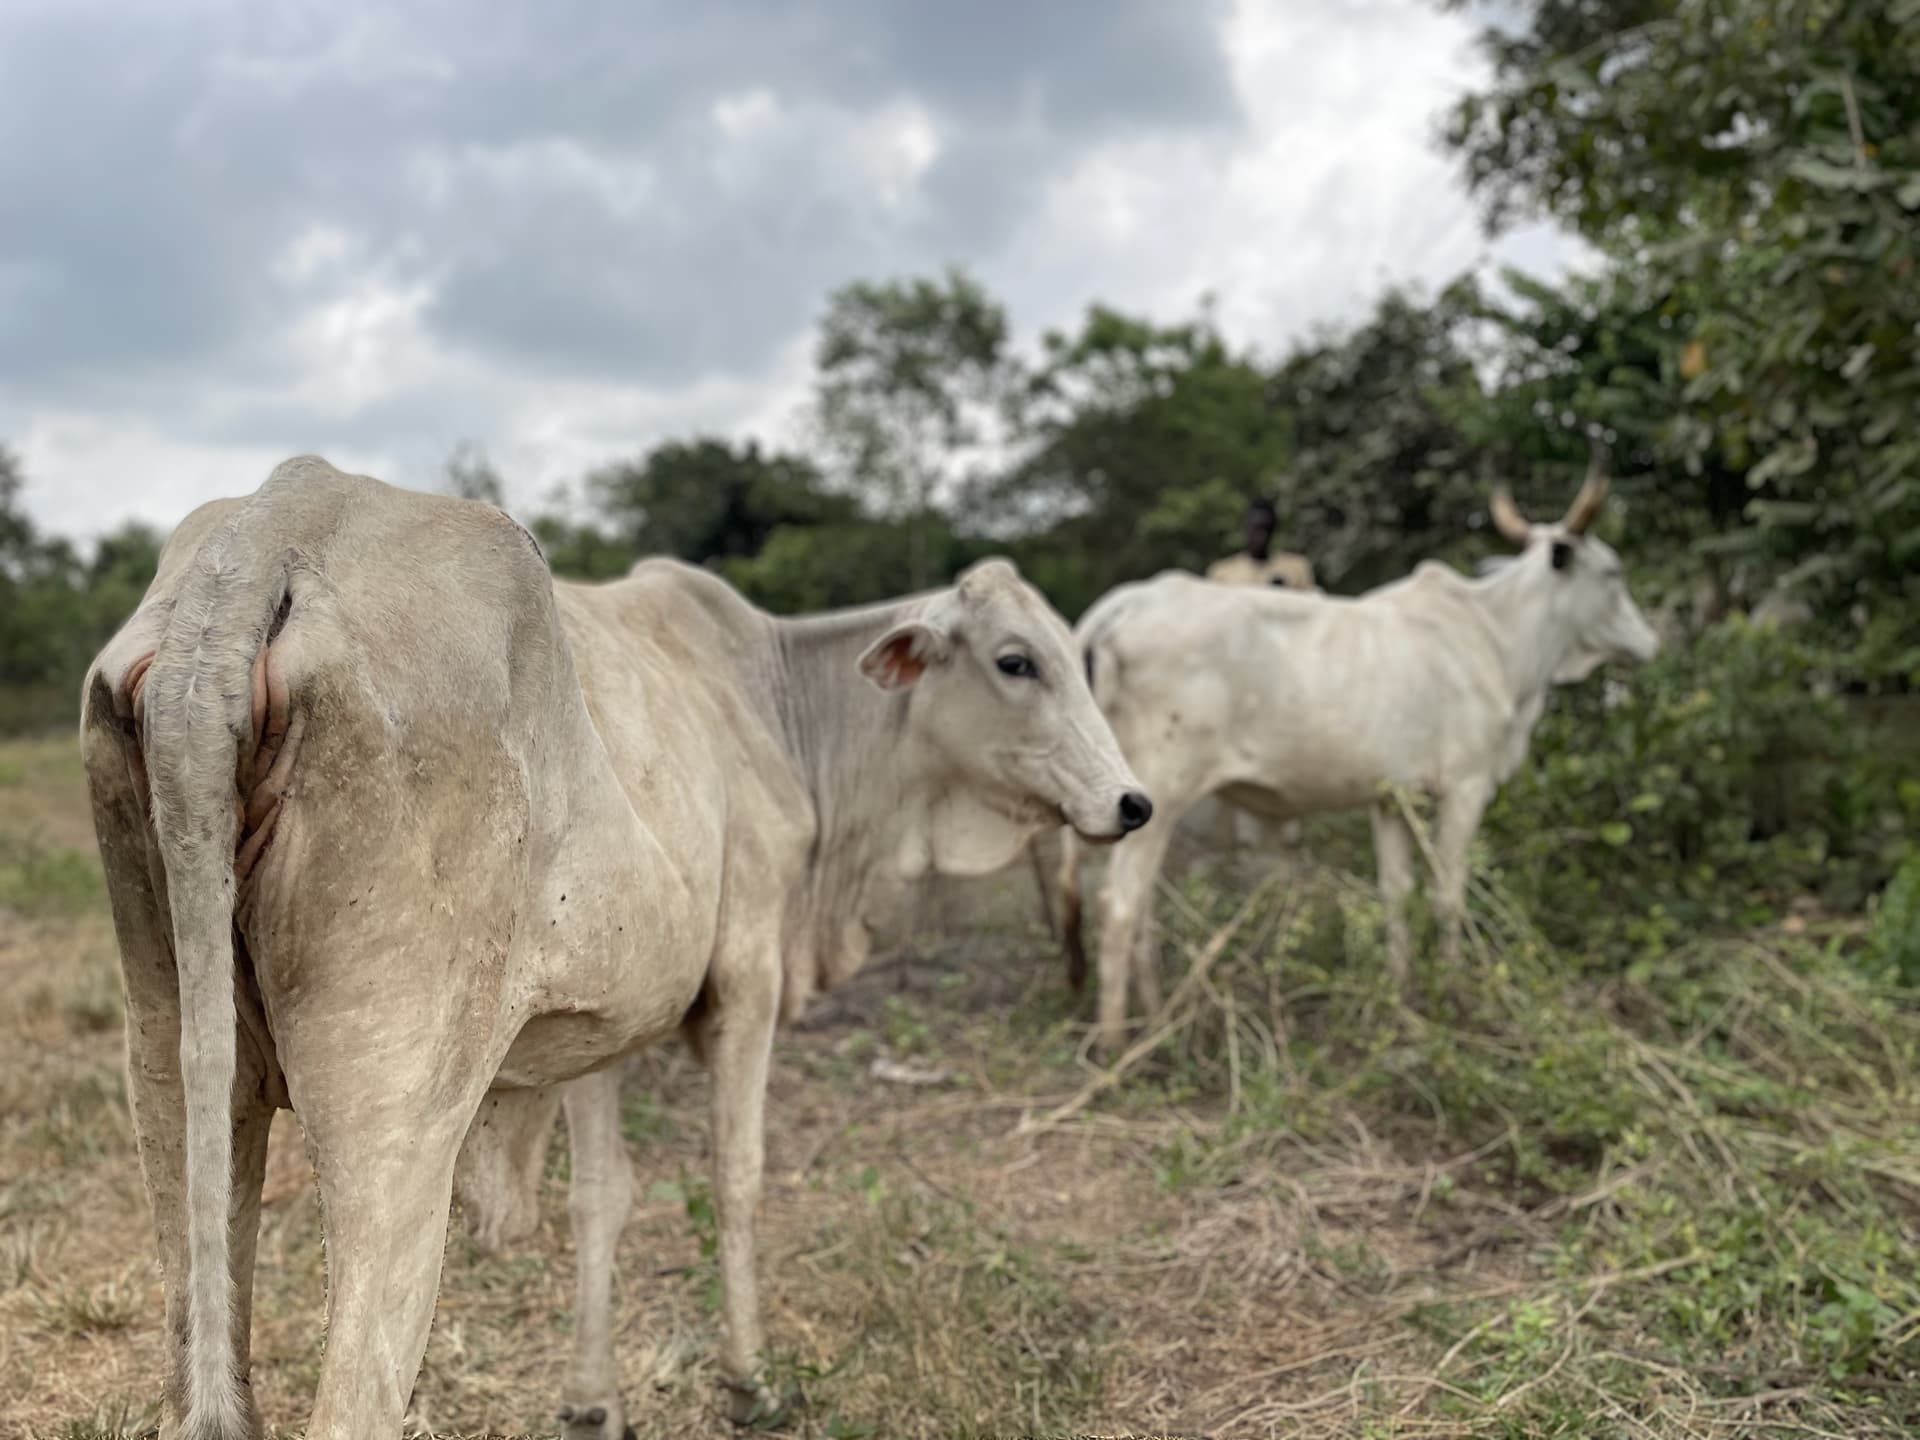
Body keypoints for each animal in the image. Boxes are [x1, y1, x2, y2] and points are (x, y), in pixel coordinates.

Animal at [80, 456, 1152, 1440]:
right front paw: (746, 1379)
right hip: (394, 1116)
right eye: (1016, 662)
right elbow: (736, 1175)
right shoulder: (749, 972)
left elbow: (601, 1197)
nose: (1133, 802)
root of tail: (276, 526)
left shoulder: (599, 1025)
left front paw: (593, 1400)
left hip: (171, 1076)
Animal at [1056, 461, 1658, 1052]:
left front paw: (1403, 993)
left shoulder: (1391, 798)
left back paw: (1156, 1017)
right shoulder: (1465, 787)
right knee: (1119, 905)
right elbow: (1448, 893)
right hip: (1161, 792)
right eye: (1613, 573)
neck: (1499, 639)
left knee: (1141, 908)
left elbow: (1397, 893)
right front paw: (1456, 996)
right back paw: (1118, 1045)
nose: (1651, 643)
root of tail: (1123, 604)